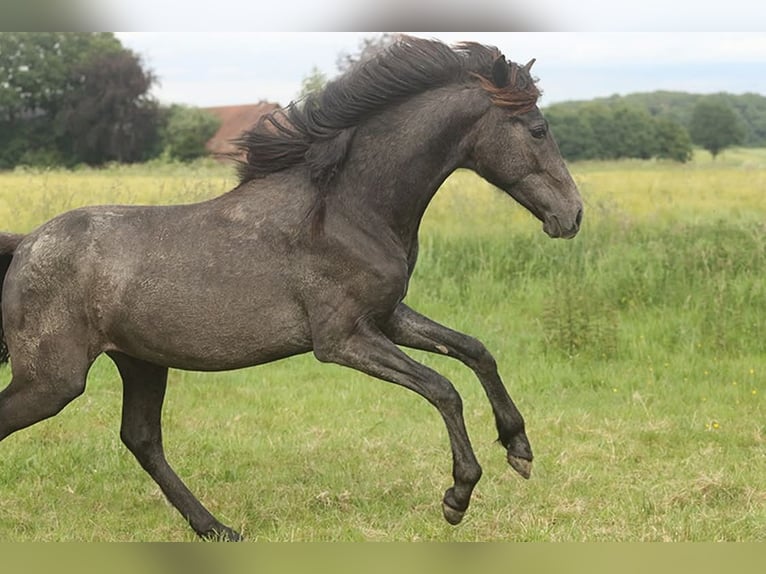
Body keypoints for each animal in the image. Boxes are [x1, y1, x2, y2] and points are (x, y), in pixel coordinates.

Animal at [0, 36, 582, 540]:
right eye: (537, 129)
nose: (572, 215)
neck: (349, 208)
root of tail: (26, 244)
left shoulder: (386, 317)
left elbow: (475, 351)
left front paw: (519, 449)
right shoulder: (341, 339)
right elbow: (443, 387)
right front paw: (457, 497)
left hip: (141, 361)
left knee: (142, 440)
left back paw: (219, 529)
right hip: (54, 381)